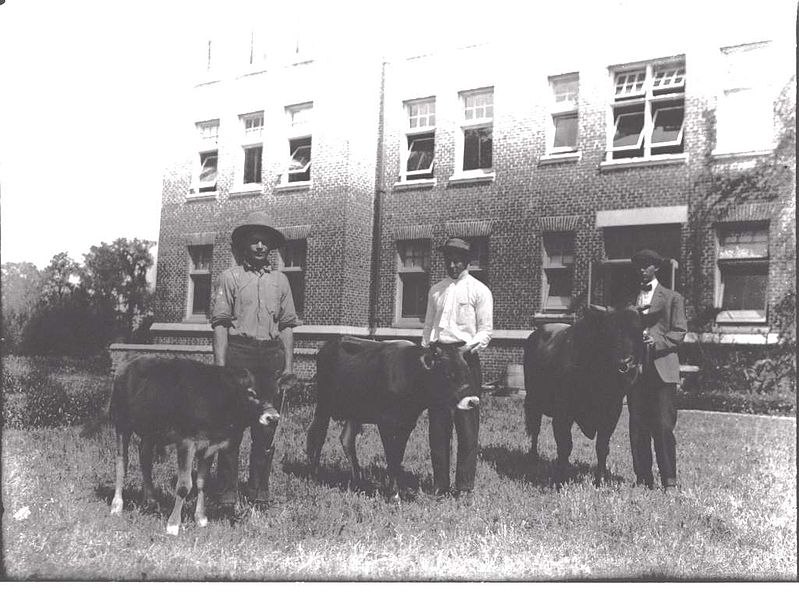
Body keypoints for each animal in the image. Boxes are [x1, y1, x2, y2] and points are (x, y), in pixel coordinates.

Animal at [109, 358, 278, 536]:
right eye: (252, 393)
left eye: (275, 394)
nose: (273, 418)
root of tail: (129, 363)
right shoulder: (186, 442)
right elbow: (184, 486)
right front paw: (173, 525)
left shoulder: (210, 446)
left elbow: (202, 483)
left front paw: (200, 518)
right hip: (121, 422)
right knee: (121, 463)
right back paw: (117, 505)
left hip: (150, 431)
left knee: (145, 456)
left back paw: (151, 500)